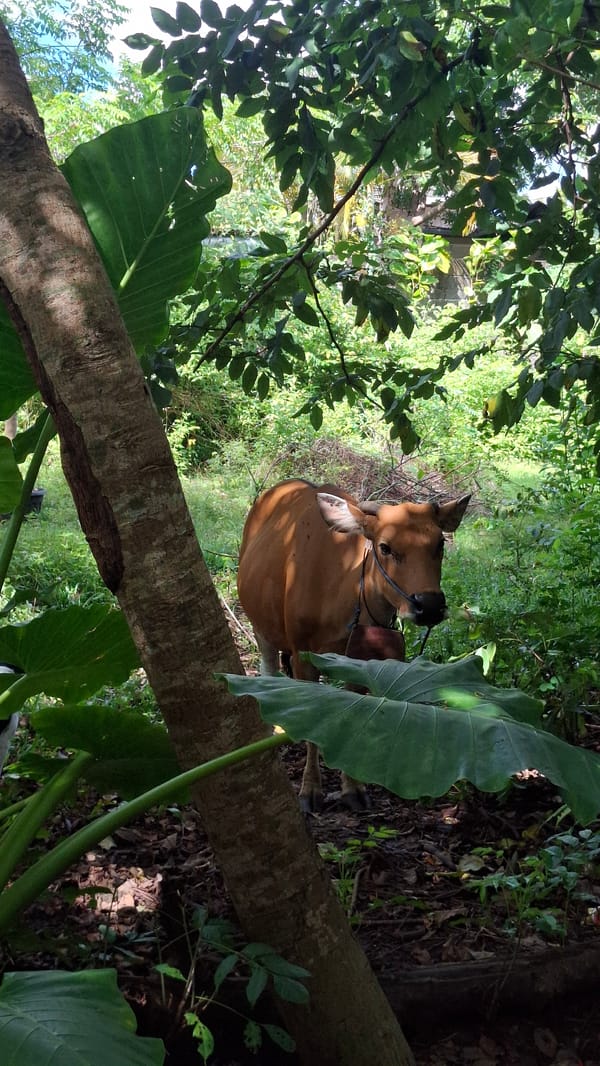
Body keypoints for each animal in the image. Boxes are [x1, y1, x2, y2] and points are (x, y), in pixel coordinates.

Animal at [237, 478, 470, 812]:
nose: (429, 606)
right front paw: (310, 790)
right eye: (385, 547)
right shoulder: (304, 653)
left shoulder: (363, 661)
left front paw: (353, 789)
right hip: (260, 624)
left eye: (439, 544)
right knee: (268, 670)